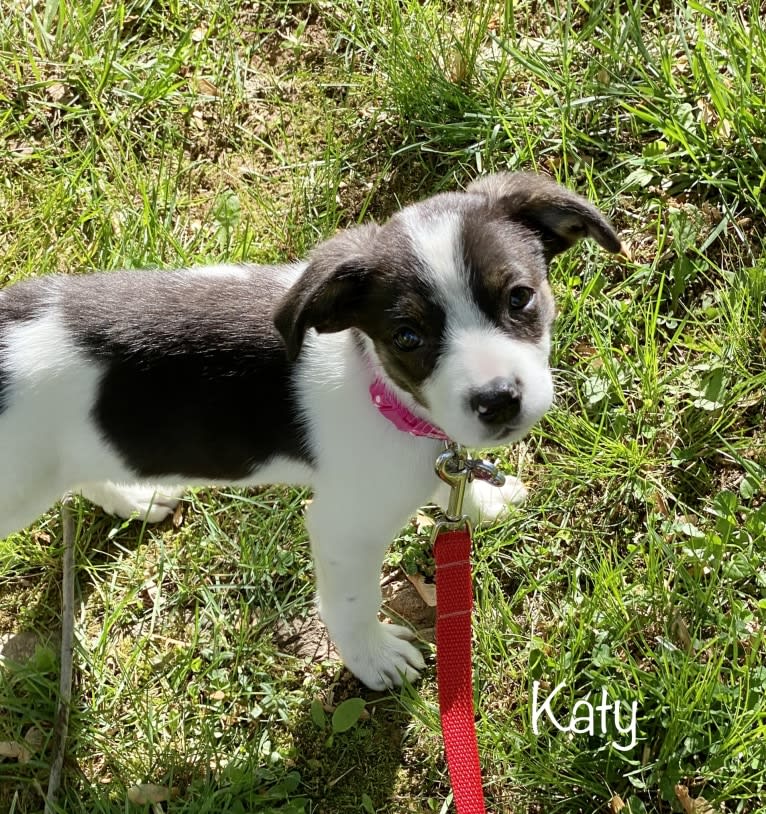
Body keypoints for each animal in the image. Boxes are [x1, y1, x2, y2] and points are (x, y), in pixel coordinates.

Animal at [0, 175, 624, 692]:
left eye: (520, 296)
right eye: (407, 336)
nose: (497, 400)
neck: (384, 391)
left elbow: (454, 481)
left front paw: (485, 501)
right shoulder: (344, 527)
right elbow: (351, 603)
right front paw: (375, 660)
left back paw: (134, 497)